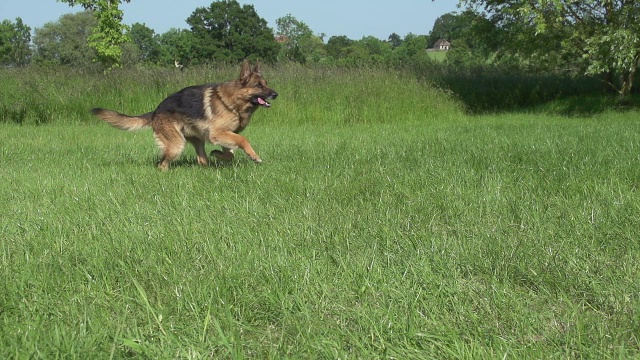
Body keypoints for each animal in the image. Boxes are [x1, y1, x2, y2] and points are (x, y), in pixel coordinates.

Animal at [92, 60, 278, 170]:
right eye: (259, 85)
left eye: (266, 83)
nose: (276, 94)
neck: (233, 101)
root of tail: (156, 111)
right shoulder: (217, 133)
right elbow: (243, 140)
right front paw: (254, 156)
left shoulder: (224, 135)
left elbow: (231, 153)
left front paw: (217, 154)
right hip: (176, 145)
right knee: (162, 163)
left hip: (197, 139)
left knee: (201, 159)